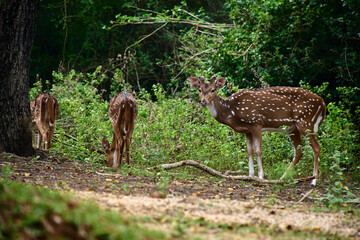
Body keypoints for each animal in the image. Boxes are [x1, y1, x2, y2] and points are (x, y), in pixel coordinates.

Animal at [190, 76, 328, 185]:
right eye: (199, 90)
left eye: (213, 90)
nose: (203, 102)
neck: (232, 111)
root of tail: (322, 103)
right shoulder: (247, 130)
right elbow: (249, 151)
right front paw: (250, 175)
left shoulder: (256, 123)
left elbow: (258, 150)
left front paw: (260, 176)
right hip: (292, 128)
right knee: (299, 150)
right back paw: (282, 177)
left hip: (305, 122)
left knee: (316, 147)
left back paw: (313, 180)